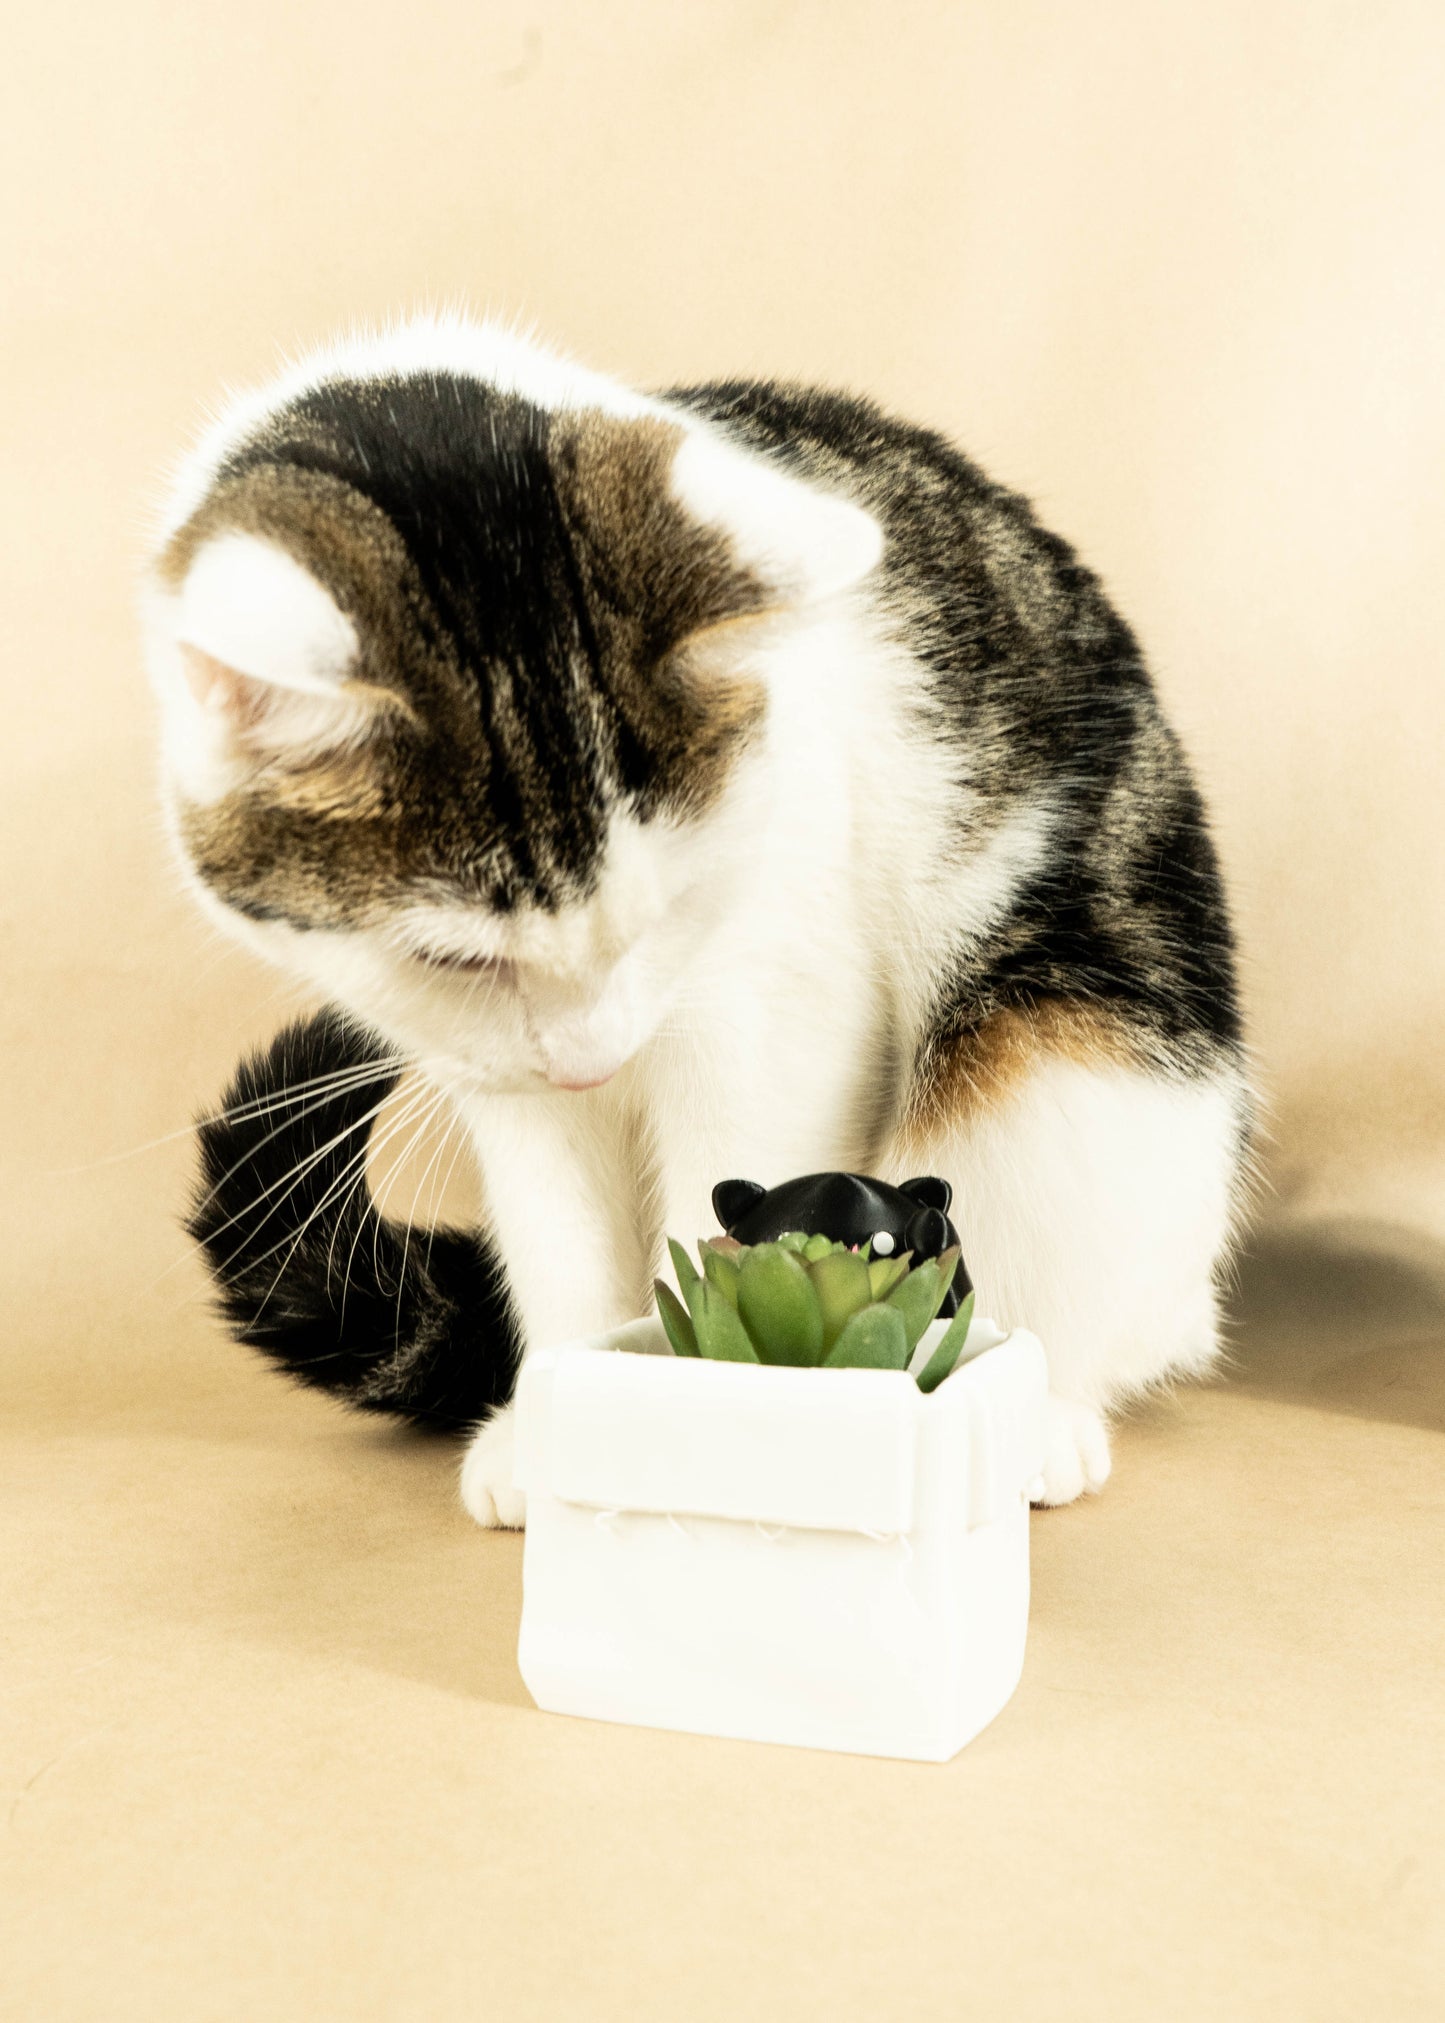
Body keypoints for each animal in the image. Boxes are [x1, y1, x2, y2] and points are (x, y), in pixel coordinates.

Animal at [146, 311, 1246, 1521]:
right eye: (455, 959)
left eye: (669, 905)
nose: (588, 1060)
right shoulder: (498, 1079)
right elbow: (561, 1246)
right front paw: (563, 1431)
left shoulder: (776, 1011)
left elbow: (730, 1200)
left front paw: (702, 1433)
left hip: (1065, 1055)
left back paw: (1039, 1423)